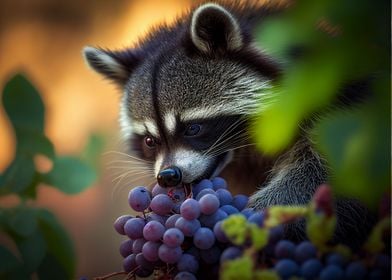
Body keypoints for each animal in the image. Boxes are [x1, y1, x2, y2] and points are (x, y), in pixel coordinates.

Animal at [83, 1, 374, 247]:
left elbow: (321, 176)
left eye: (193, 128)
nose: (167, 176)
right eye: (149, 140)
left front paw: (259, 214)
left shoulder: (335, 104)